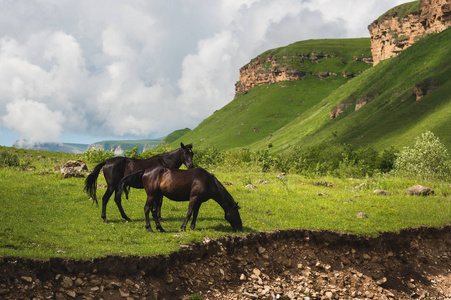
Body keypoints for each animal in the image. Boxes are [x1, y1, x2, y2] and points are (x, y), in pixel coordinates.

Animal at [116, 166, 244, 232]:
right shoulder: (193, 198)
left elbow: (195, 214)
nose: (240, 228)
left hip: (157, 195)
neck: (207, 181)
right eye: (236, 213)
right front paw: (183, 227)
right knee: (147, 209)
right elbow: (189, 213)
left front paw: (192, 227)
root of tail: (145, 171)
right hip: (151, 195)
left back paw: (160, 228)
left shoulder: (199, 201)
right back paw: (149, 228)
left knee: (153, 211)